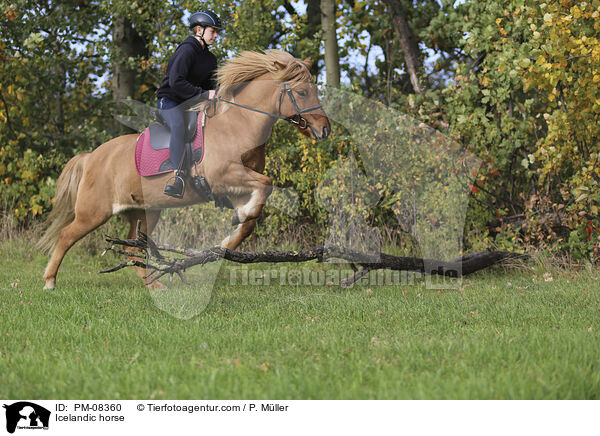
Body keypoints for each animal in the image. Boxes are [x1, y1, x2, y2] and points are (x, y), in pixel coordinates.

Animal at [38, 50, 330, 290]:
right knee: (66, 235)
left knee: (134, 247)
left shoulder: (236, 187)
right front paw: (236, 224)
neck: (239, 125)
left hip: (144, 212)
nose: (324, 129)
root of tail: (92, 157)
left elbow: (251, 218)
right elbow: (265, 185)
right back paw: (50, 281)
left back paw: (156, 286)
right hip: (94, 213)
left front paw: (226, 242)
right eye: (302, 93)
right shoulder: (222, 177)